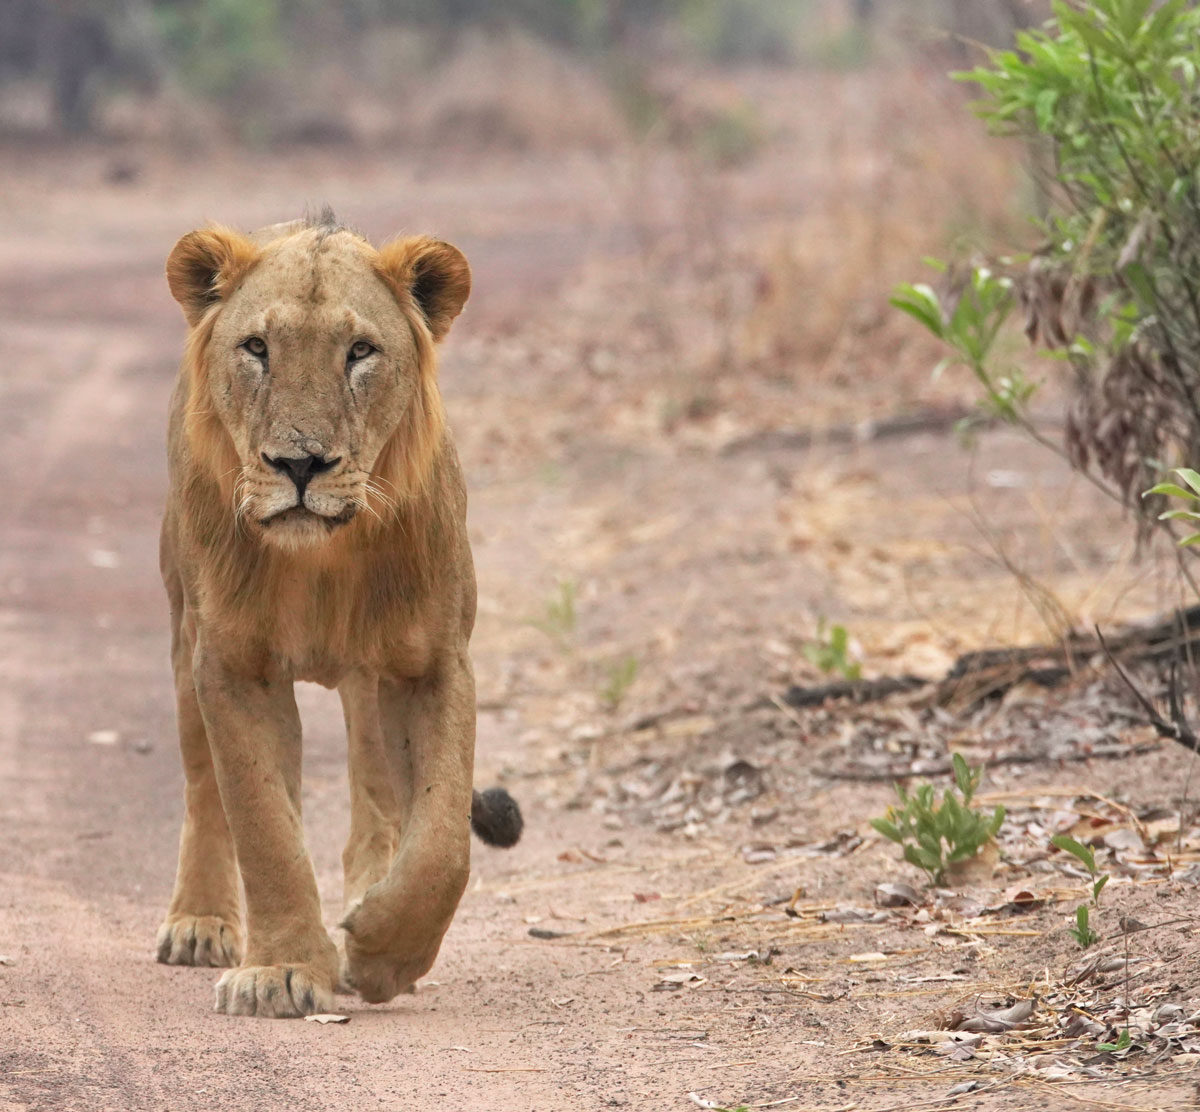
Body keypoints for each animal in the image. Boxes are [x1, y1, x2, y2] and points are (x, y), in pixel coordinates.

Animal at [153, 208, 520, 1017]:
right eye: (256, 348)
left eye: (360, 352)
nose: (299, 464)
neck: (324, 560)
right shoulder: (230, 664)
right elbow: (264, 826)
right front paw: (282, 971)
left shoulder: (433, 664)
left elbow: (442, 839)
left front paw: (384, 951)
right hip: (183, 640)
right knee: (203, 790)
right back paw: (200, 923)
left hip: (370, 679)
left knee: (378, 799)